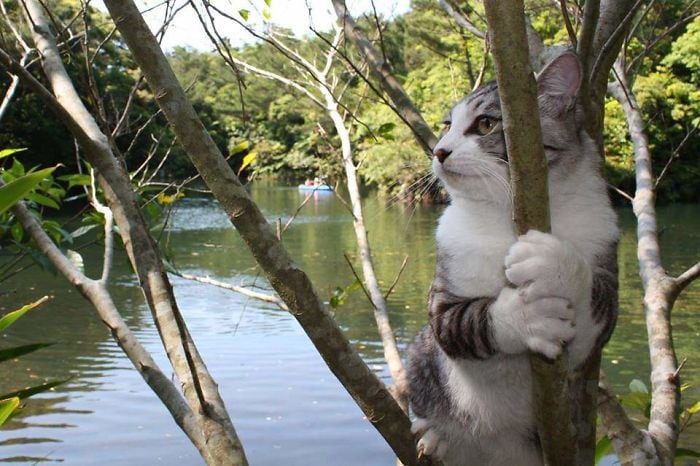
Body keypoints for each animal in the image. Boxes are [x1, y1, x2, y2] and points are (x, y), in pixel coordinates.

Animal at [404, 52, 616, 466]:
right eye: (447, 126)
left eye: (486, 123)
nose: (439, 150)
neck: (507, 220)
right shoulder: (442, 297)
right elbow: (464, 321)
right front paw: (525, 316)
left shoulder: (604, 253)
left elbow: (595, 316)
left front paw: (555, 265)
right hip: (420, 356)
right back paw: (437, 437)